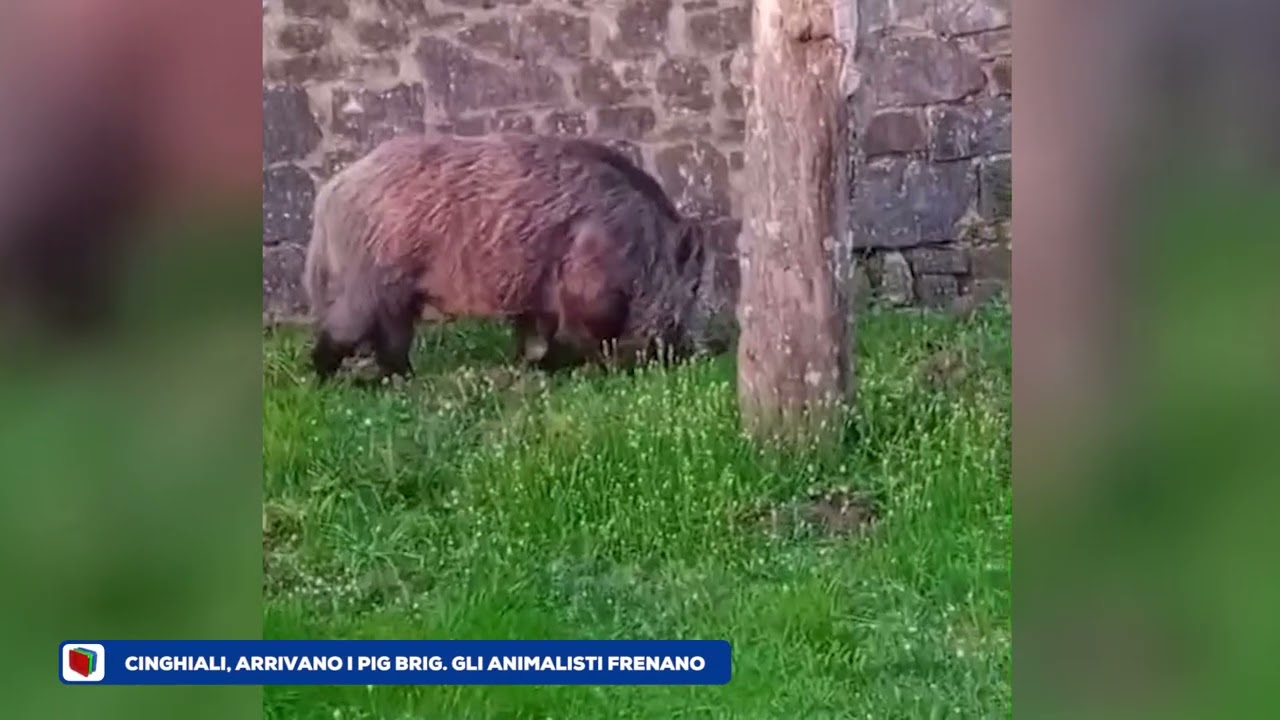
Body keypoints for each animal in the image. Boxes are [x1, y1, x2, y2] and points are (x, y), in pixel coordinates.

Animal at [302, 132, 721, 381]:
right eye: (694, 288)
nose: (695, 353)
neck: (639, 241)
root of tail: (330, 192)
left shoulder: (538, 294)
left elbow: (535, 334)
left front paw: (529, 363)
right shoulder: (585, 280)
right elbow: (578, 333)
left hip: (395, 295)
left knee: (390, 338)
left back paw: (403, 377)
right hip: (369, 280)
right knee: (346, 329)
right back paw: (327, 377)